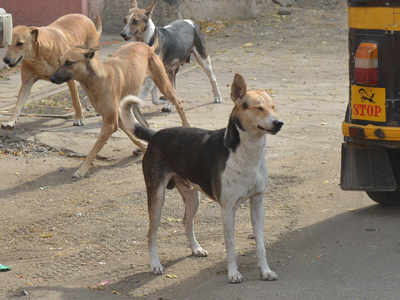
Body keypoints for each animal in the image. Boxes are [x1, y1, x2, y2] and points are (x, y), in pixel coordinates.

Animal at [50, 42, 191, 178]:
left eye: (69, 62)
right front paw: (143, 147)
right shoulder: (117, 118)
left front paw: (81, 170)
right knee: (144, 123)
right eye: (59, 61)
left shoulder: (110, 123)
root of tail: (146, 46)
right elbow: (131, 135)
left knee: (179, 103)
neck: (96, 79)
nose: (51, 78)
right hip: (133, 101)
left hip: (163, 85)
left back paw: (186, 125)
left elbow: (94, 150)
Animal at [119, 73, 284, 284]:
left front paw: (265, 271)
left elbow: (261, 244)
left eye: (273, 107)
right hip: (157, 199)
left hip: (192, 198)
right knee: (151, 233)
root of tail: (155, 135)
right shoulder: (228, 209)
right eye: (259, 108)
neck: (247, 153)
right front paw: (233, 273)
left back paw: (196, 248)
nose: (279, 123)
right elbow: (230, 245)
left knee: (186, 222)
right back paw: (155, 265)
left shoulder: (257, 202)